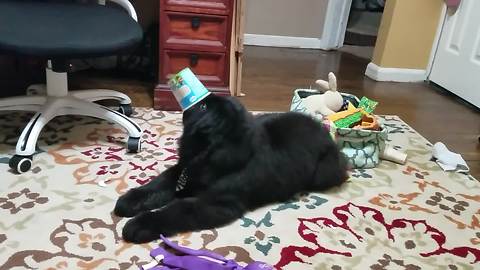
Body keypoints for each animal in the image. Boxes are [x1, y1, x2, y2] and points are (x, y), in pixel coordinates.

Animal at [114, 94, 346, 243]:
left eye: (204, 107)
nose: (191, 102)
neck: (207, 158)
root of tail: (324, 131)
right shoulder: (182, 171)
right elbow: (159, 183)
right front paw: (131, 200)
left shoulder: (217, 202)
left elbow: (179, 209)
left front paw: (141, 225)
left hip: (325, 172)